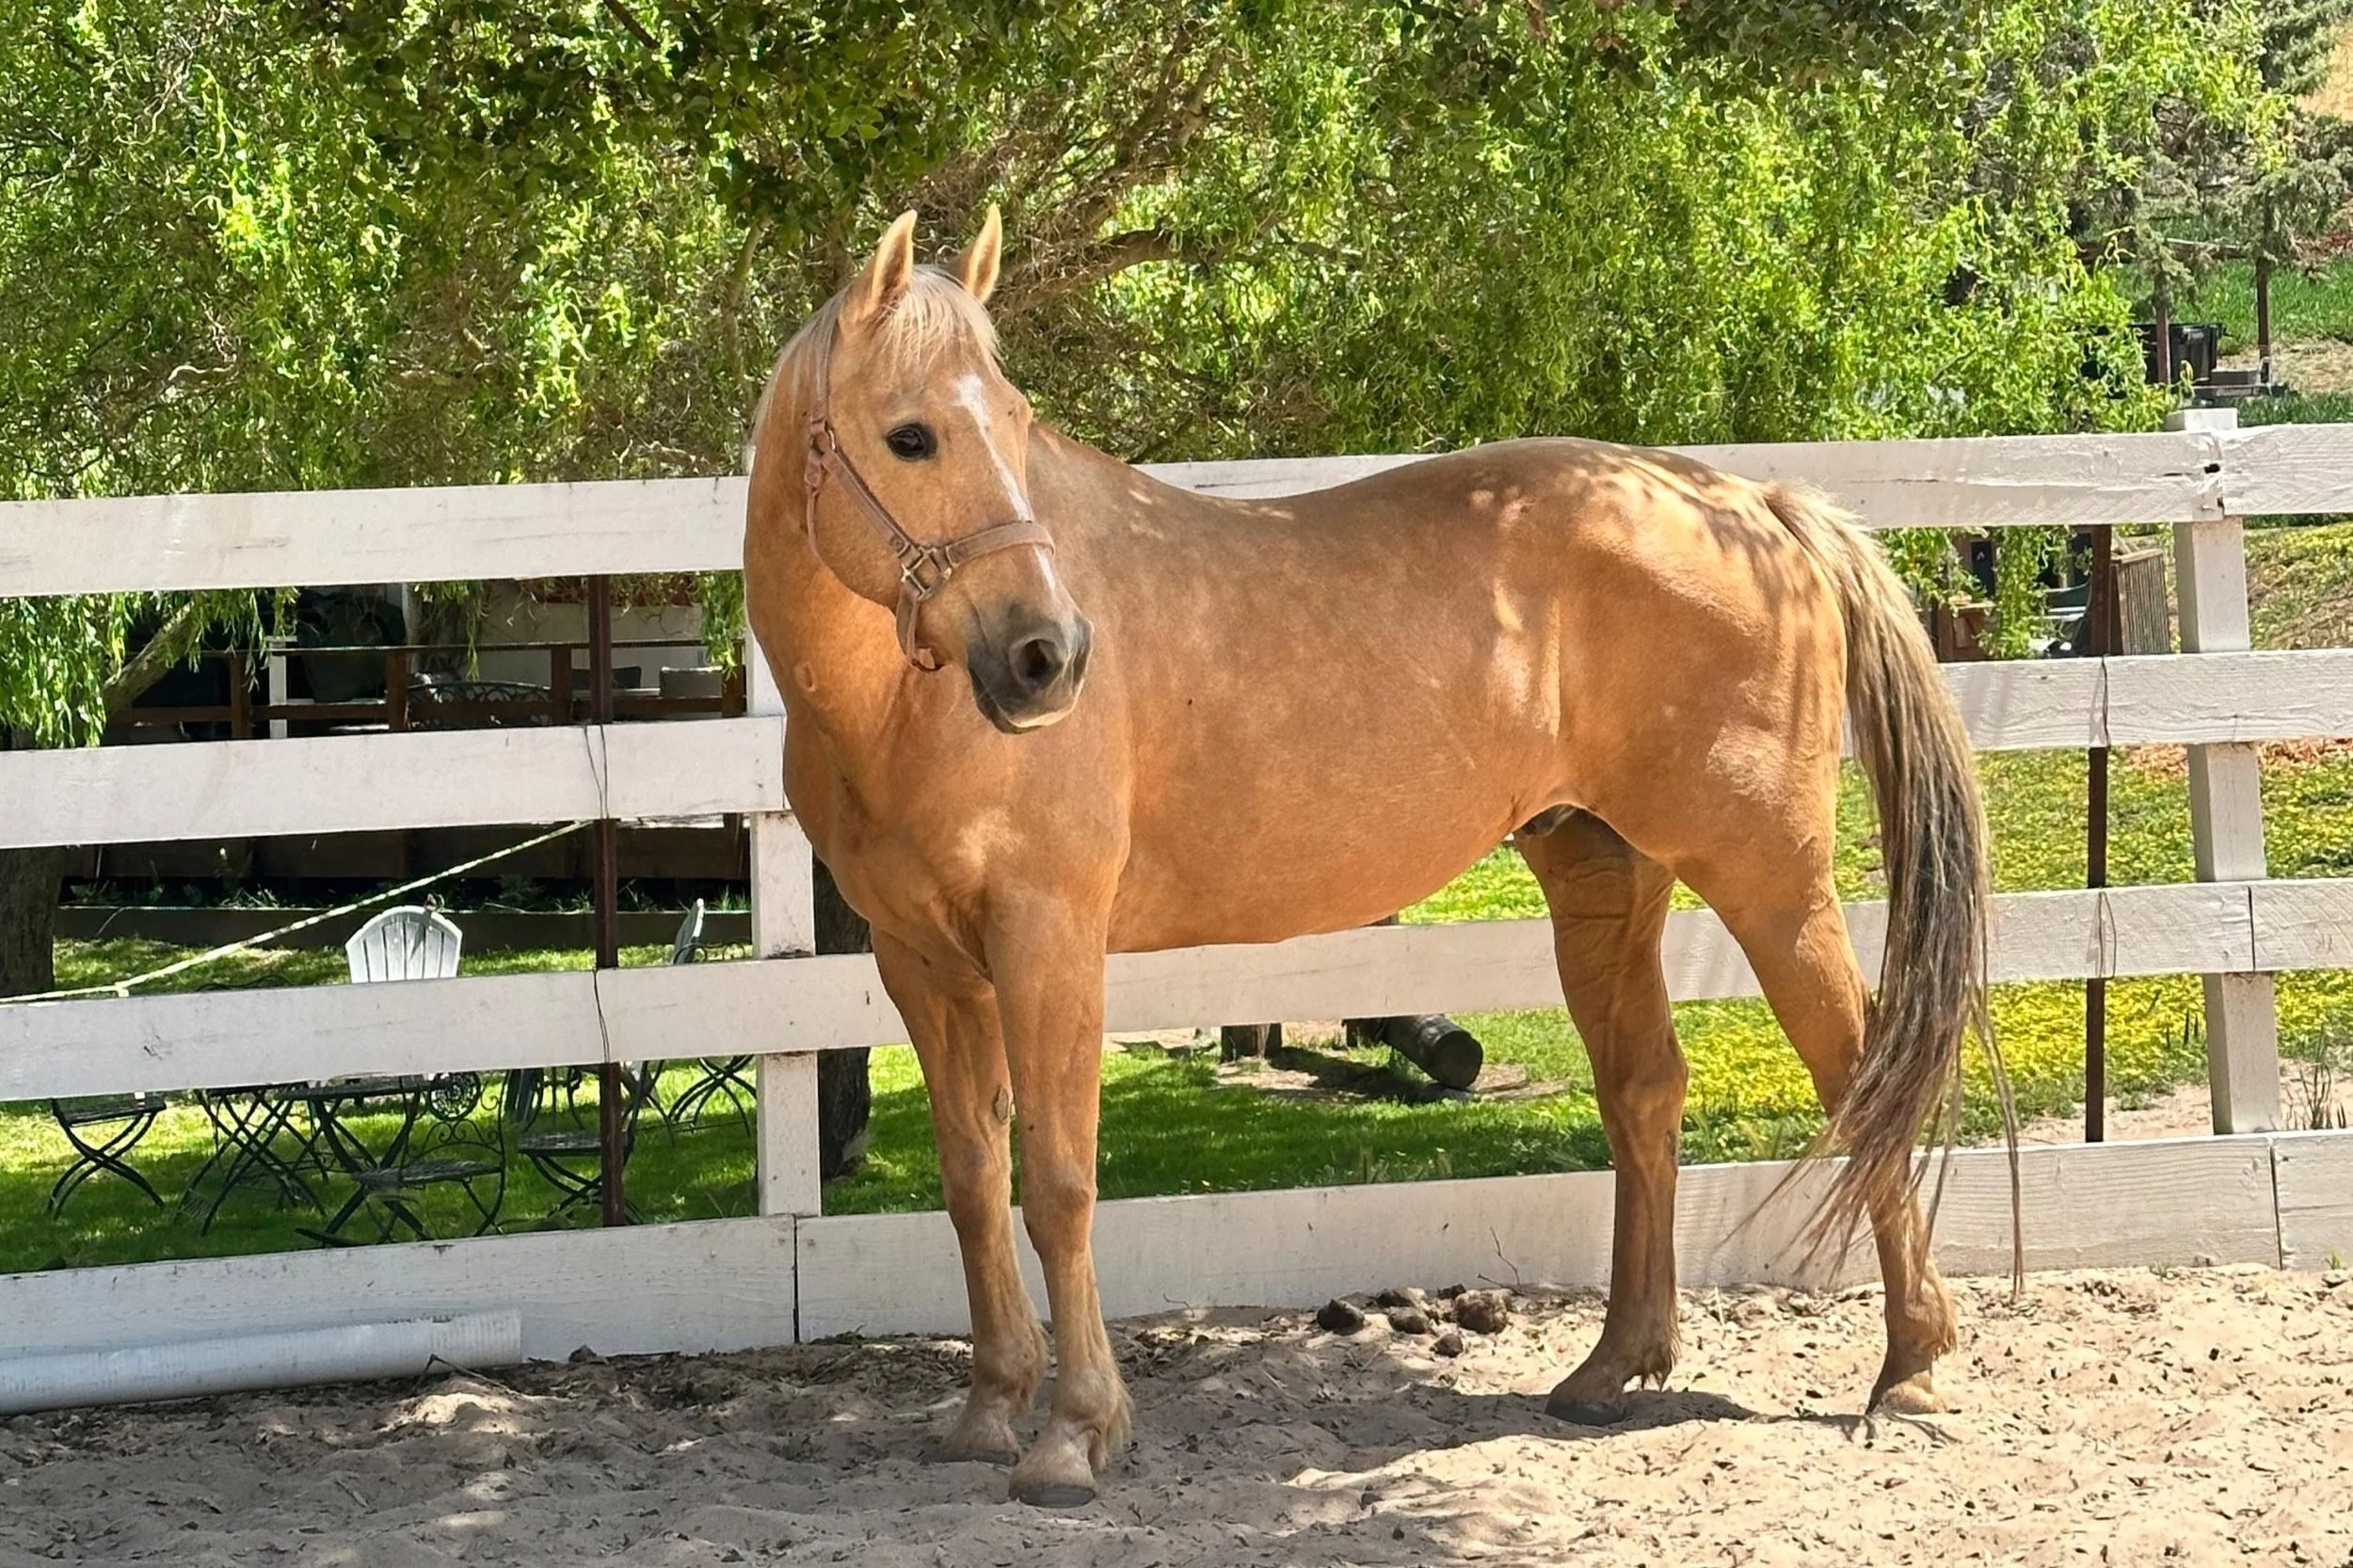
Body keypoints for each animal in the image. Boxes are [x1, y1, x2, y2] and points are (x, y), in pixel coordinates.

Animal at [742, 208, 1989, 1506]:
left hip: (1769, 881)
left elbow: (1060, 1185)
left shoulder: (1049, 940)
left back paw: (1910, 1369)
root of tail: (1757, 505)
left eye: (1017, 422)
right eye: (912, 435)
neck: (898, 710)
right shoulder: (924, 964)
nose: (1049, 656)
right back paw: (1612, 1367)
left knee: (1861, 1077)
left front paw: (1075, 1432)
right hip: (1603, 880)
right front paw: (989, 1409)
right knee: (1644, 1089)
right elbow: (973, 1184)